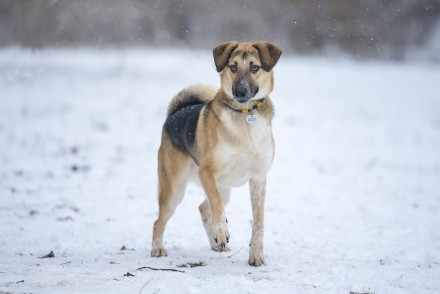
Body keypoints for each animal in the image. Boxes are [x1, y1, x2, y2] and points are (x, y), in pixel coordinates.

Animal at [151, 40, 282, 266]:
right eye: (233, 67)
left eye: (254, 67)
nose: (240, 92)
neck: (245, 117)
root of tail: (173, 114)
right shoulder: (207, 172)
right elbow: (217, 206)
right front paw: (221, 231)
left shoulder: (258, 180)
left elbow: (259, 223)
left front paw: (256, 256)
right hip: (175, 188)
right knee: (159, 221)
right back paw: (158, 248)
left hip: (224, 187)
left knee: (203, 208)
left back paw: (216, 246)